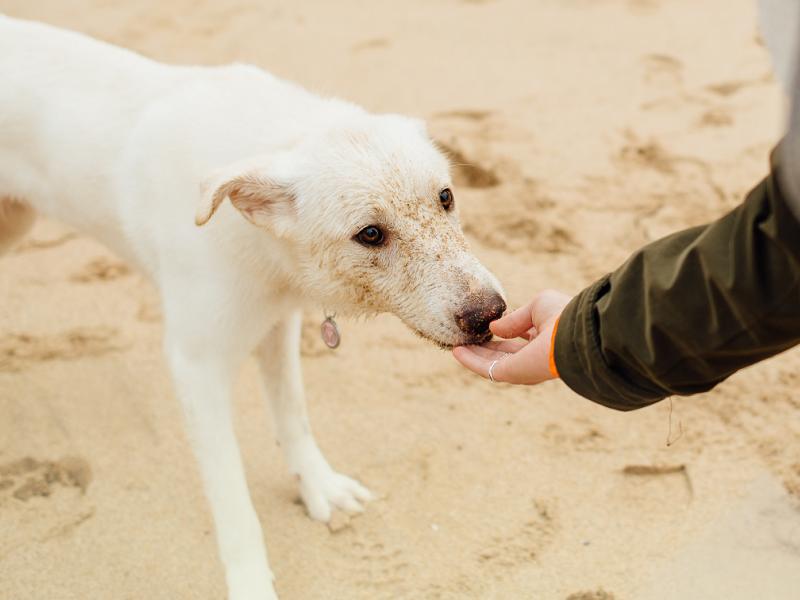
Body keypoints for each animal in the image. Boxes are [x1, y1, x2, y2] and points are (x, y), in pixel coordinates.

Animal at [1, 15, 506, 600]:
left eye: (446, 198)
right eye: (370, 234)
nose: (489, 313)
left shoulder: (278, 325)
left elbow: (294, 417)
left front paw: (320, 489)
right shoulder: (195, 366)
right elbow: (233, 500)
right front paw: (249, 580)